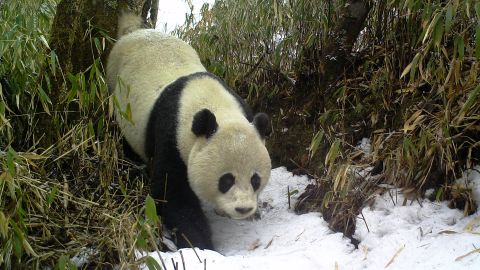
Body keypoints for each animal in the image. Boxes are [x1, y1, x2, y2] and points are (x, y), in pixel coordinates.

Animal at [108, 13, 272, 250]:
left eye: (255, 179)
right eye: (226, 180)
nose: (243, 209)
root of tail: (134, 31)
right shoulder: (171, 135)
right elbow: (172, 195)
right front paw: (199, 244)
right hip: (116, 93)